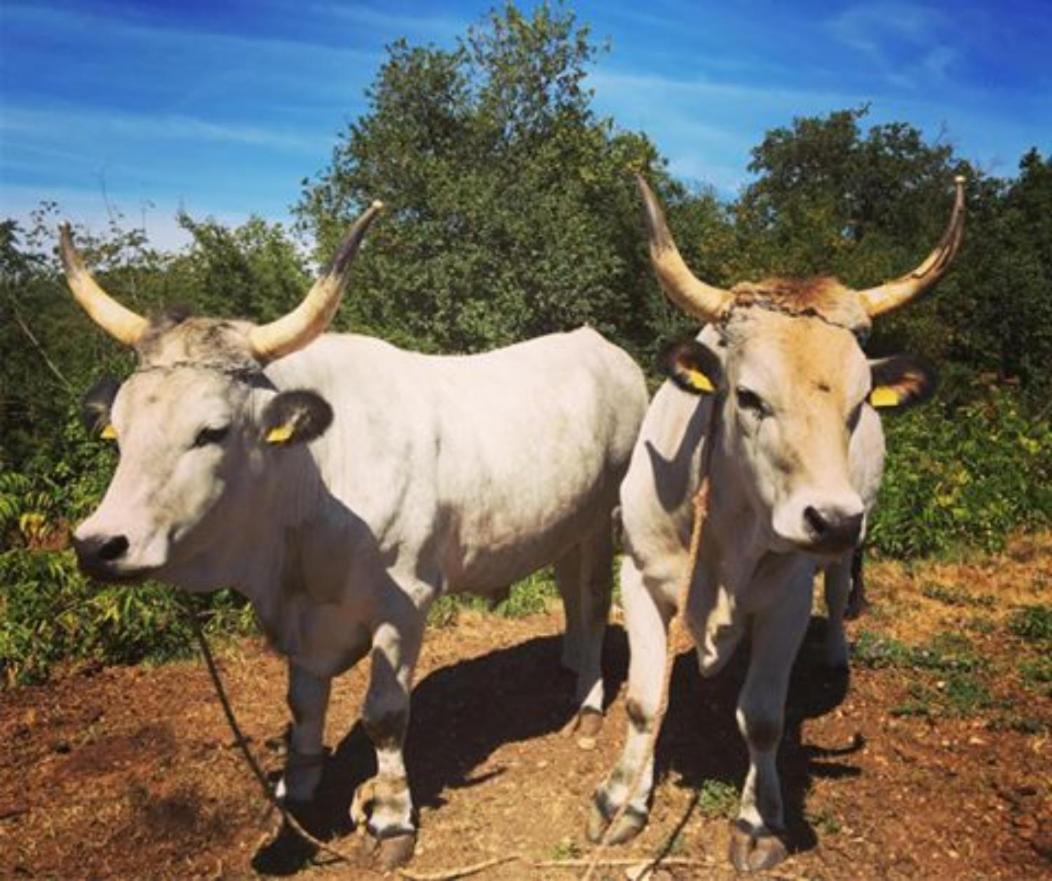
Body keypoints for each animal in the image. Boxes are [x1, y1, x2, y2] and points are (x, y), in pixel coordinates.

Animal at [63, 203, 648, 871]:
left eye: (211, 430)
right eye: (118, 429)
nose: (98, 544)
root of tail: (598, 344)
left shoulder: (403, 603)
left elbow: (385, 716)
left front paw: (390, 820)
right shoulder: (303, 616)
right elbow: (303, 703)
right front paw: (297, 791)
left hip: (606, 515)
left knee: (594, 599)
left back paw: (588, 703)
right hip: (566, 521)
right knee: (572, 592)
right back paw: (571, 660)